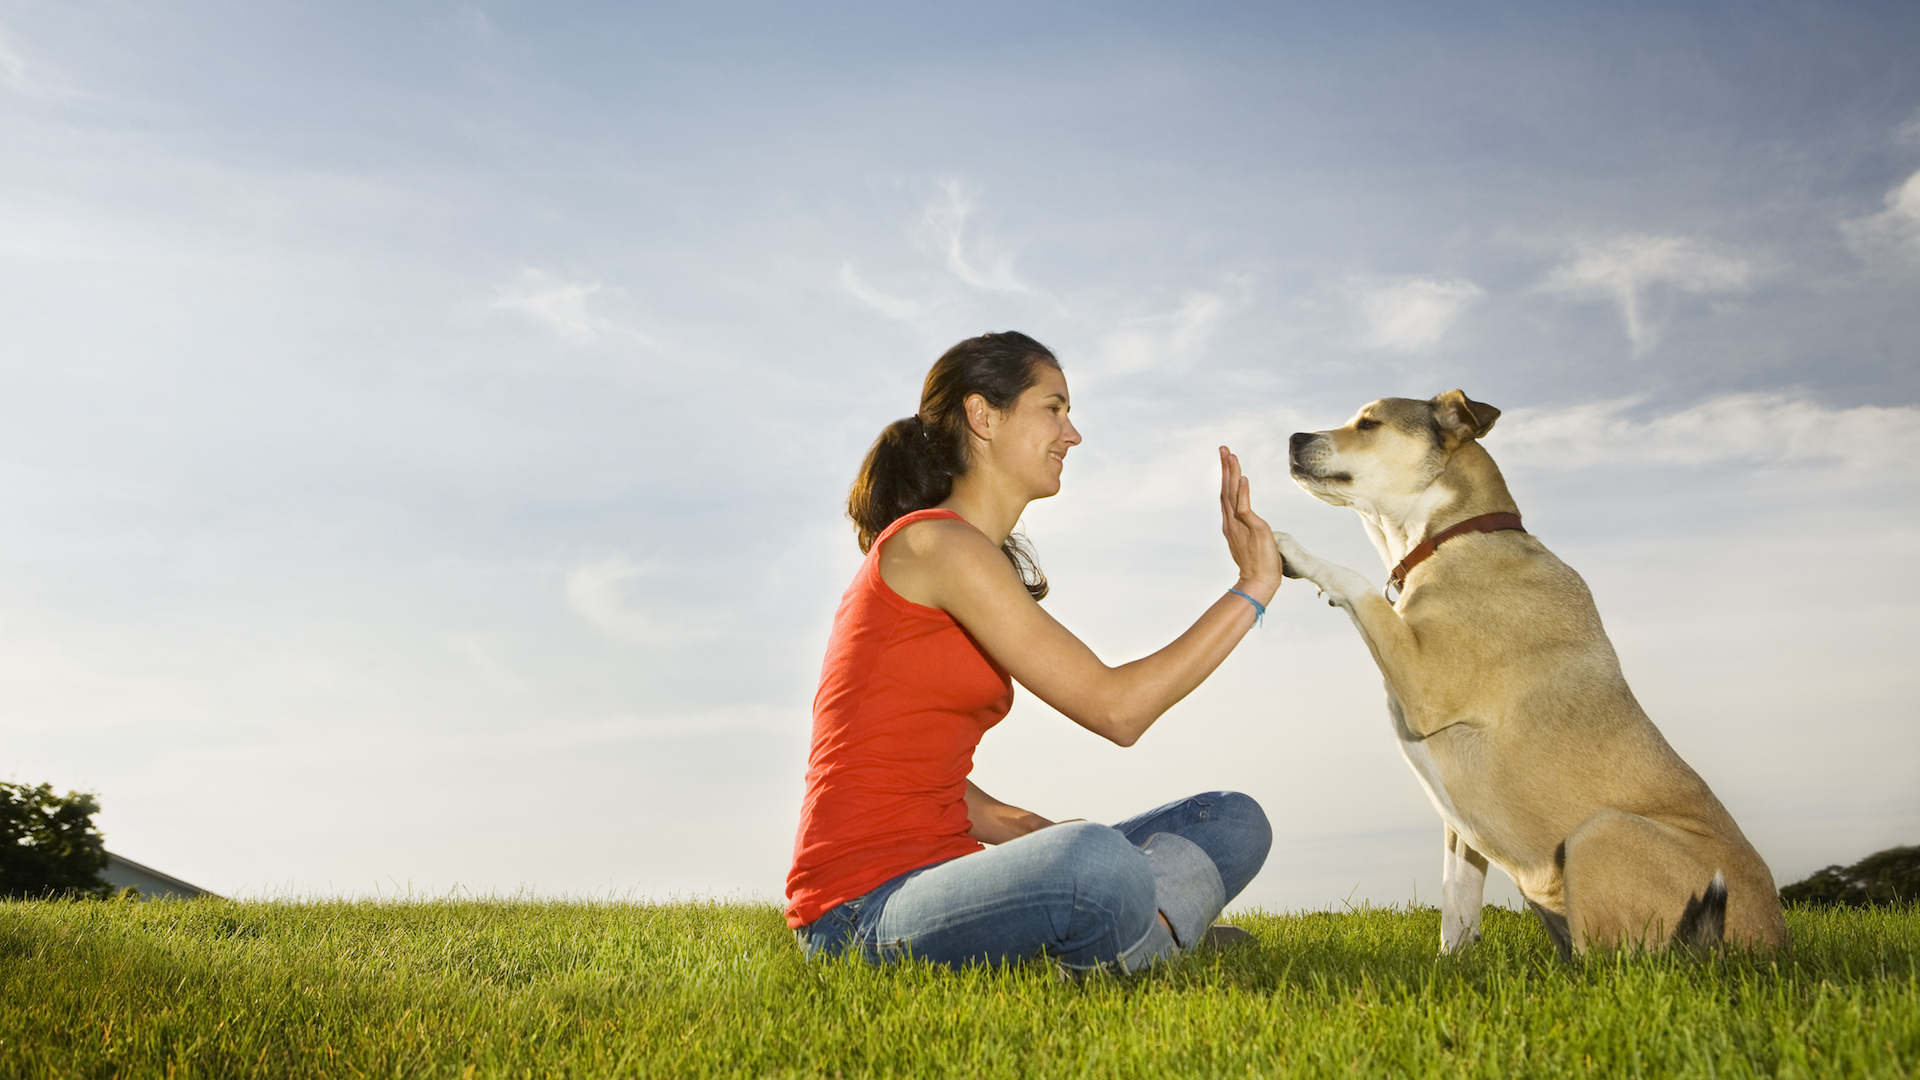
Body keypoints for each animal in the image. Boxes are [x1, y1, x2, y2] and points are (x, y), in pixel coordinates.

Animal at [1274, 390, 1781, 953]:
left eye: (1369, 423)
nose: (1293, 437)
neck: (1453, 536)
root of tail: (1771, 945)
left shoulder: (1425, 684)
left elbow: (1354, 581)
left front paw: (1288, 547)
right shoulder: (1460, 829)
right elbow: (1457, 905)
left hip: (1599, 832)